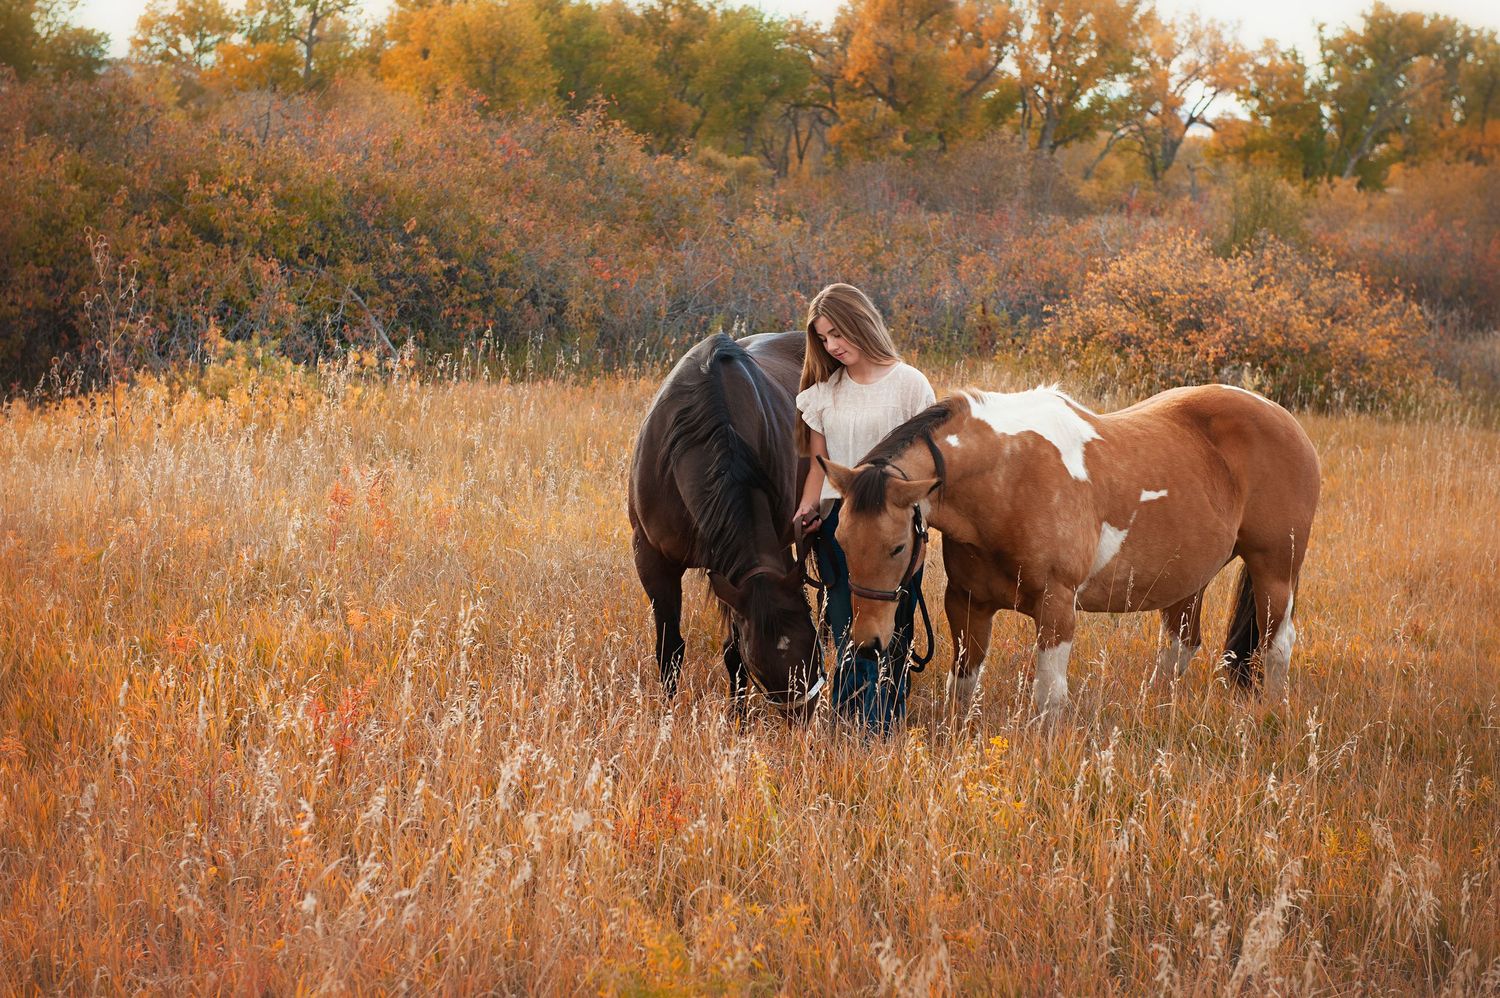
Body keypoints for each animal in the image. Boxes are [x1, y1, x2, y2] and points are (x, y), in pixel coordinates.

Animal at [628, 331, 824, 715]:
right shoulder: (652, 558)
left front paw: (737, 717)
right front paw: (668, 715)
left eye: (812, 650)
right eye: (761, 664)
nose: (803, 716)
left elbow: (731, 652)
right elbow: (669, 648)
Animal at [817, 384, 1320, 723]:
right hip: (1188, 579)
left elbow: (1049, 697)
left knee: (1277, 646)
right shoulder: (966, 604)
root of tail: (1284, 419)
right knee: (1182, 644)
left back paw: (1272, 713)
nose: (868, 642)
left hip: (1275, 570)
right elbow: (961, 685)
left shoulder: (1057, 607)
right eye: (840, 540)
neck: (1008, 480)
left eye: (898, 546)